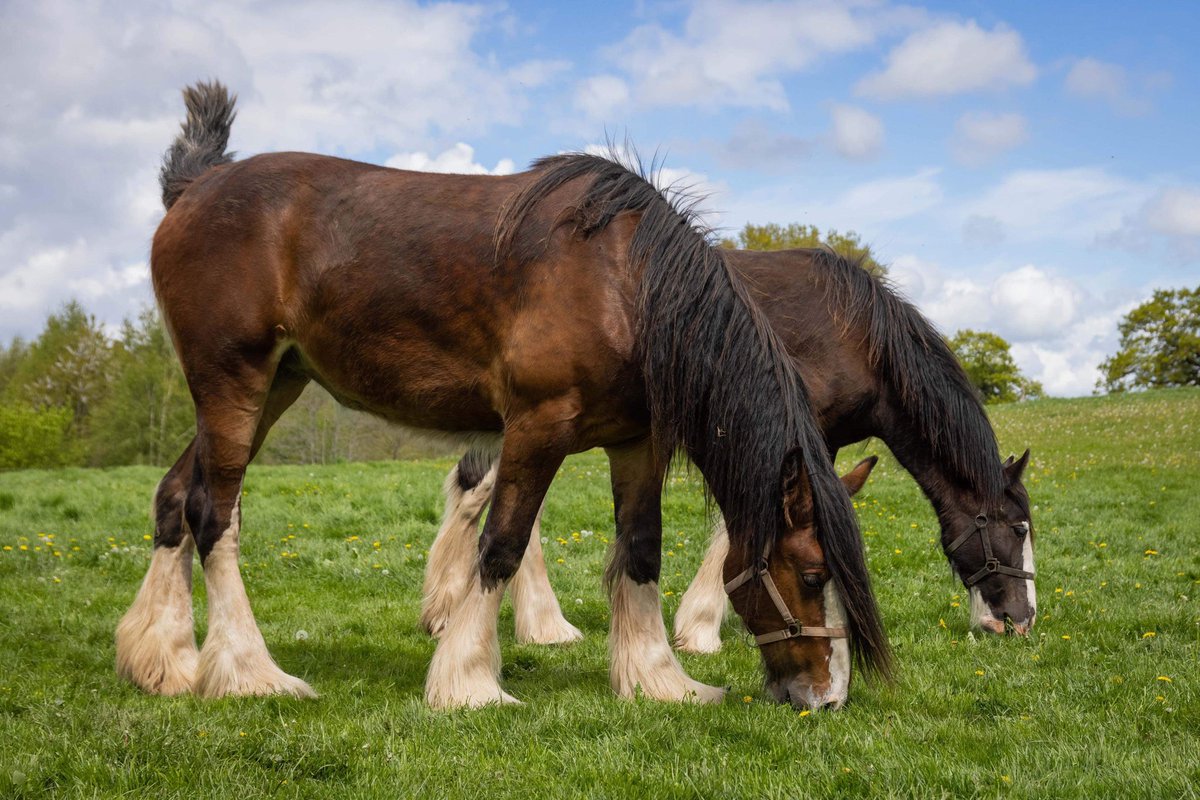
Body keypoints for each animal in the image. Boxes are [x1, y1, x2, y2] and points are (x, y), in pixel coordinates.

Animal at [115, 81, 890, 711]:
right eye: (813, 571)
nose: (827, 698)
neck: (625, 286)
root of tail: (195, 186)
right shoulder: (538, 427)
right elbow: (501, 545)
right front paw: (469, 682)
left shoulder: (635, 441)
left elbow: (640, 550)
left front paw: (658, 679)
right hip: (233, 380)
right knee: (214, 514)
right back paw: (250, 673)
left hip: (273, 385)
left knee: (175, 497)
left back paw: (167, 661)